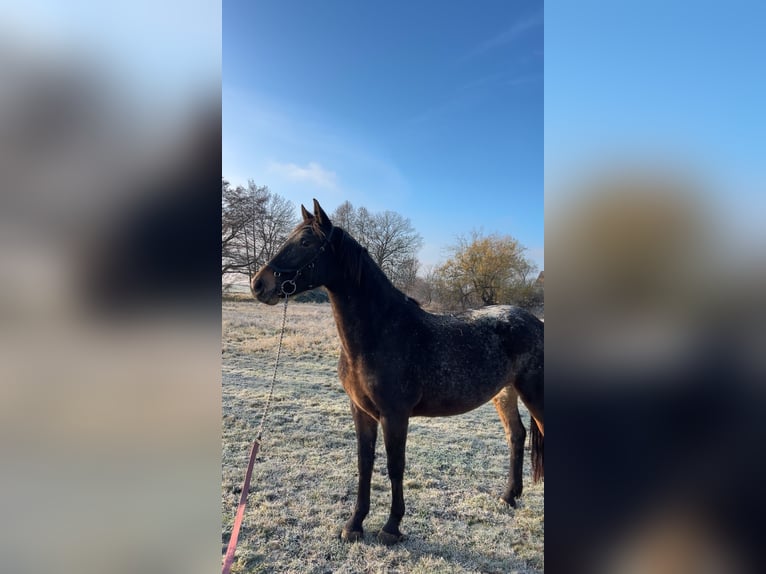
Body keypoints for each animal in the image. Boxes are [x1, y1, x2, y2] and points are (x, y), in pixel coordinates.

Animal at [251, 199, 544, 544]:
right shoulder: (361, 411)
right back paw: (508, 496)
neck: (381, 332)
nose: (258, 284)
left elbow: (395, 465)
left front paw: (391, 527)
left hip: (534, 393)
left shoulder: (394, 415)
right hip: (505, 392)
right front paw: (354, 524)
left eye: (306, 242)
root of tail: (534, 322)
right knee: (516, 435)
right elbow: (365, 463)